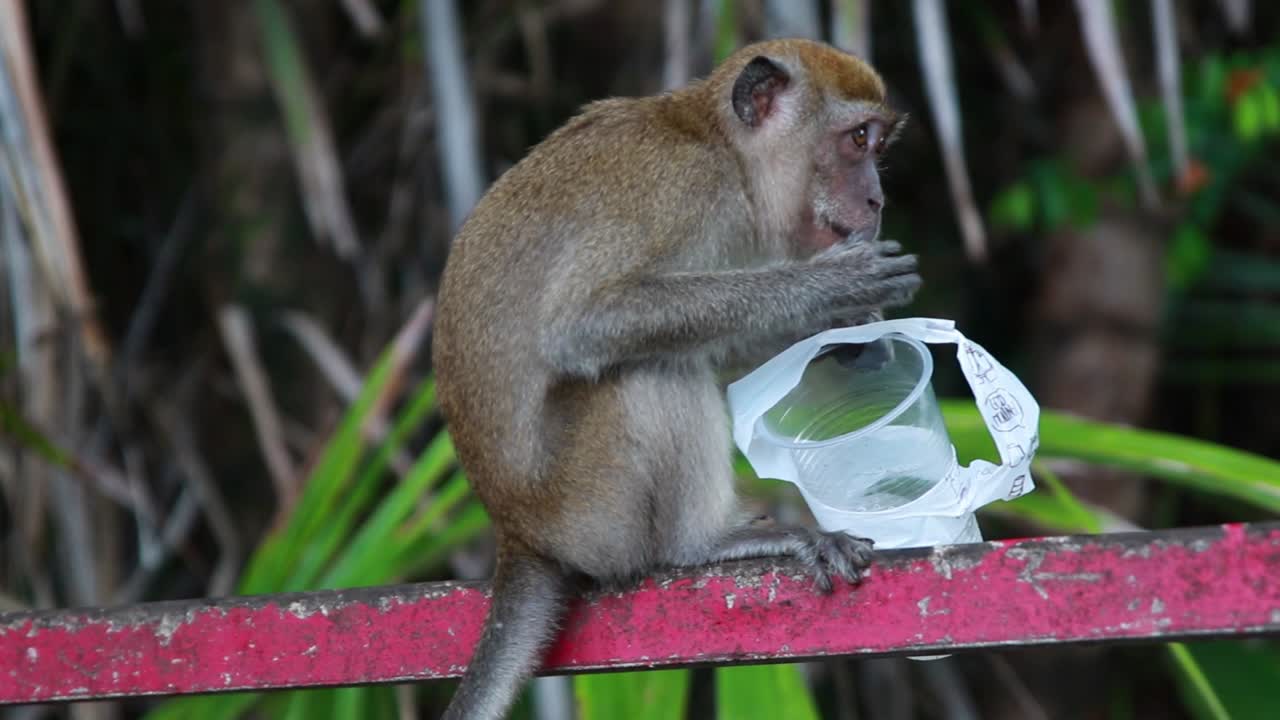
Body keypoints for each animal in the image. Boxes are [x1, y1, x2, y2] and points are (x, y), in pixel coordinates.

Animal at [431, 38, 918, 720]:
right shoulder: (687, 189)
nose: (876, 201)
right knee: (648, 368)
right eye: (856, 140)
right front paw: (828, 289)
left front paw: (847, 330)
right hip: (591, 514)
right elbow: (583, 324)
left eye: (877, 147)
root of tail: (518, 534)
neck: (723, 148)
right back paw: (702, 544)